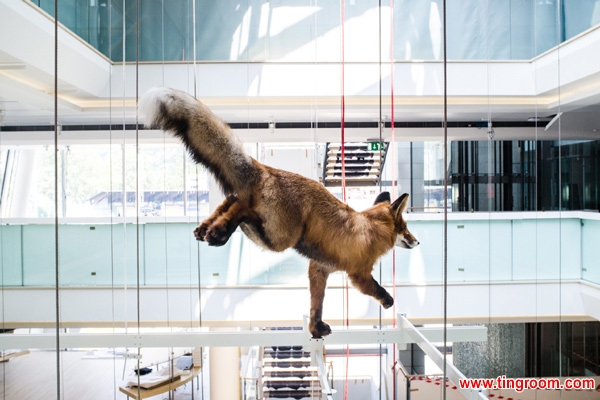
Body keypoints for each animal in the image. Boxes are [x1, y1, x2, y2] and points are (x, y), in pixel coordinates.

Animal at [141, 87, 422, 338]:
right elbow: (376, 288)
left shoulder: (319, 269)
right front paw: (387, 300)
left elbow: (316, 306)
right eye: (406, 228)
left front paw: (315, 330)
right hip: (280, 239)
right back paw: (220, 232)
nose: (417, 242)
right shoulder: (358, 273)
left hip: (269, 229)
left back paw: (208, 227)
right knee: (243, 211)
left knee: (231, 201)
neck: (372, 228)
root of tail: (266, 168)